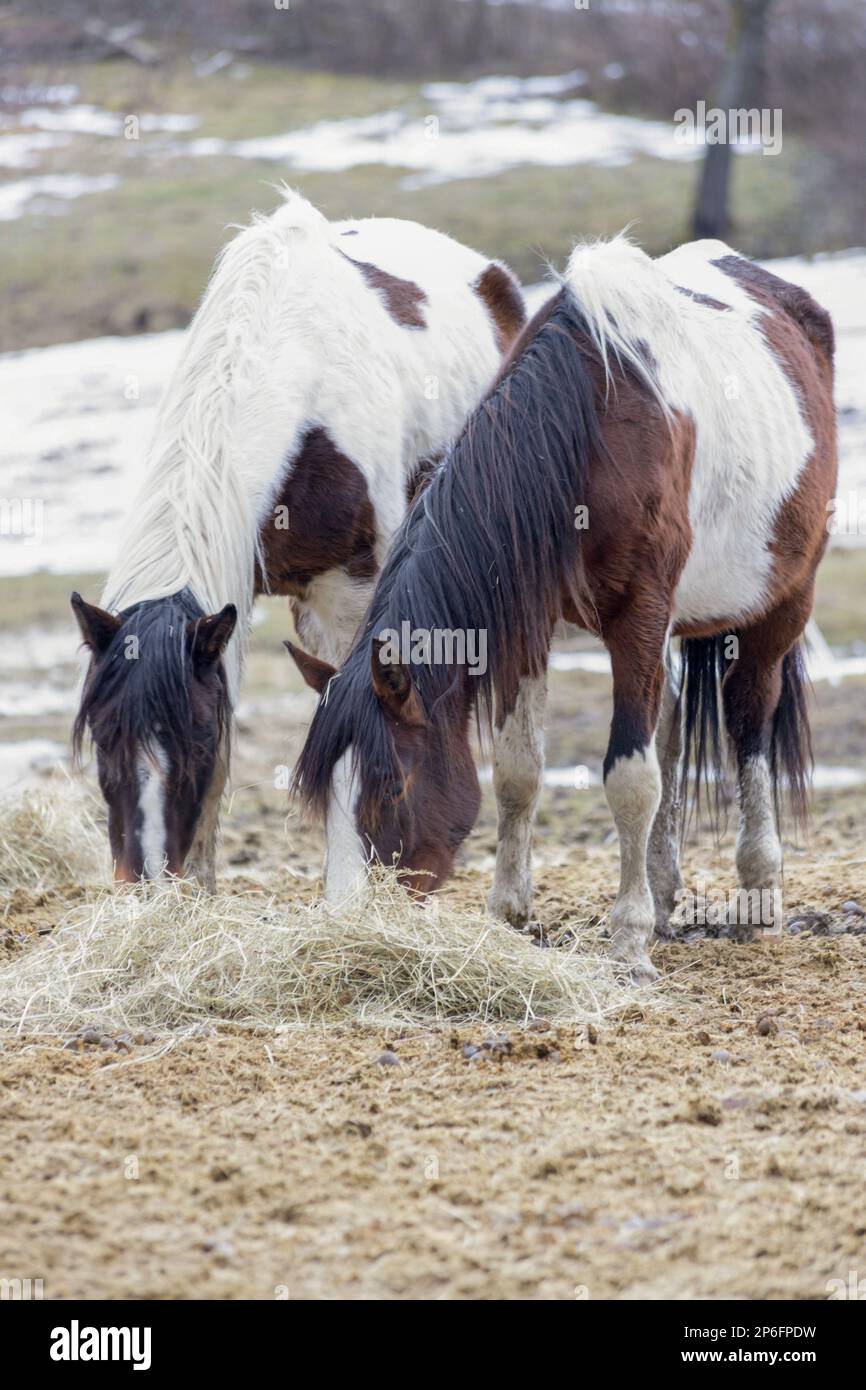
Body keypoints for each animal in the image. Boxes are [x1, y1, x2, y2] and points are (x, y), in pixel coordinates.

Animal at [289, 234, 837, 981]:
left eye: (393, 788)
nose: (346, 928)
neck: (588, 430)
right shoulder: (533, 618)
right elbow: (519, 770)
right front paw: (509, 911)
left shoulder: (640, 614)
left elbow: (629, 778)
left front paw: (628, 941)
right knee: (672, 724)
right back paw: (664, 889)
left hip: (783, 601)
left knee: (751, 713)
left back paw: (758, 891)